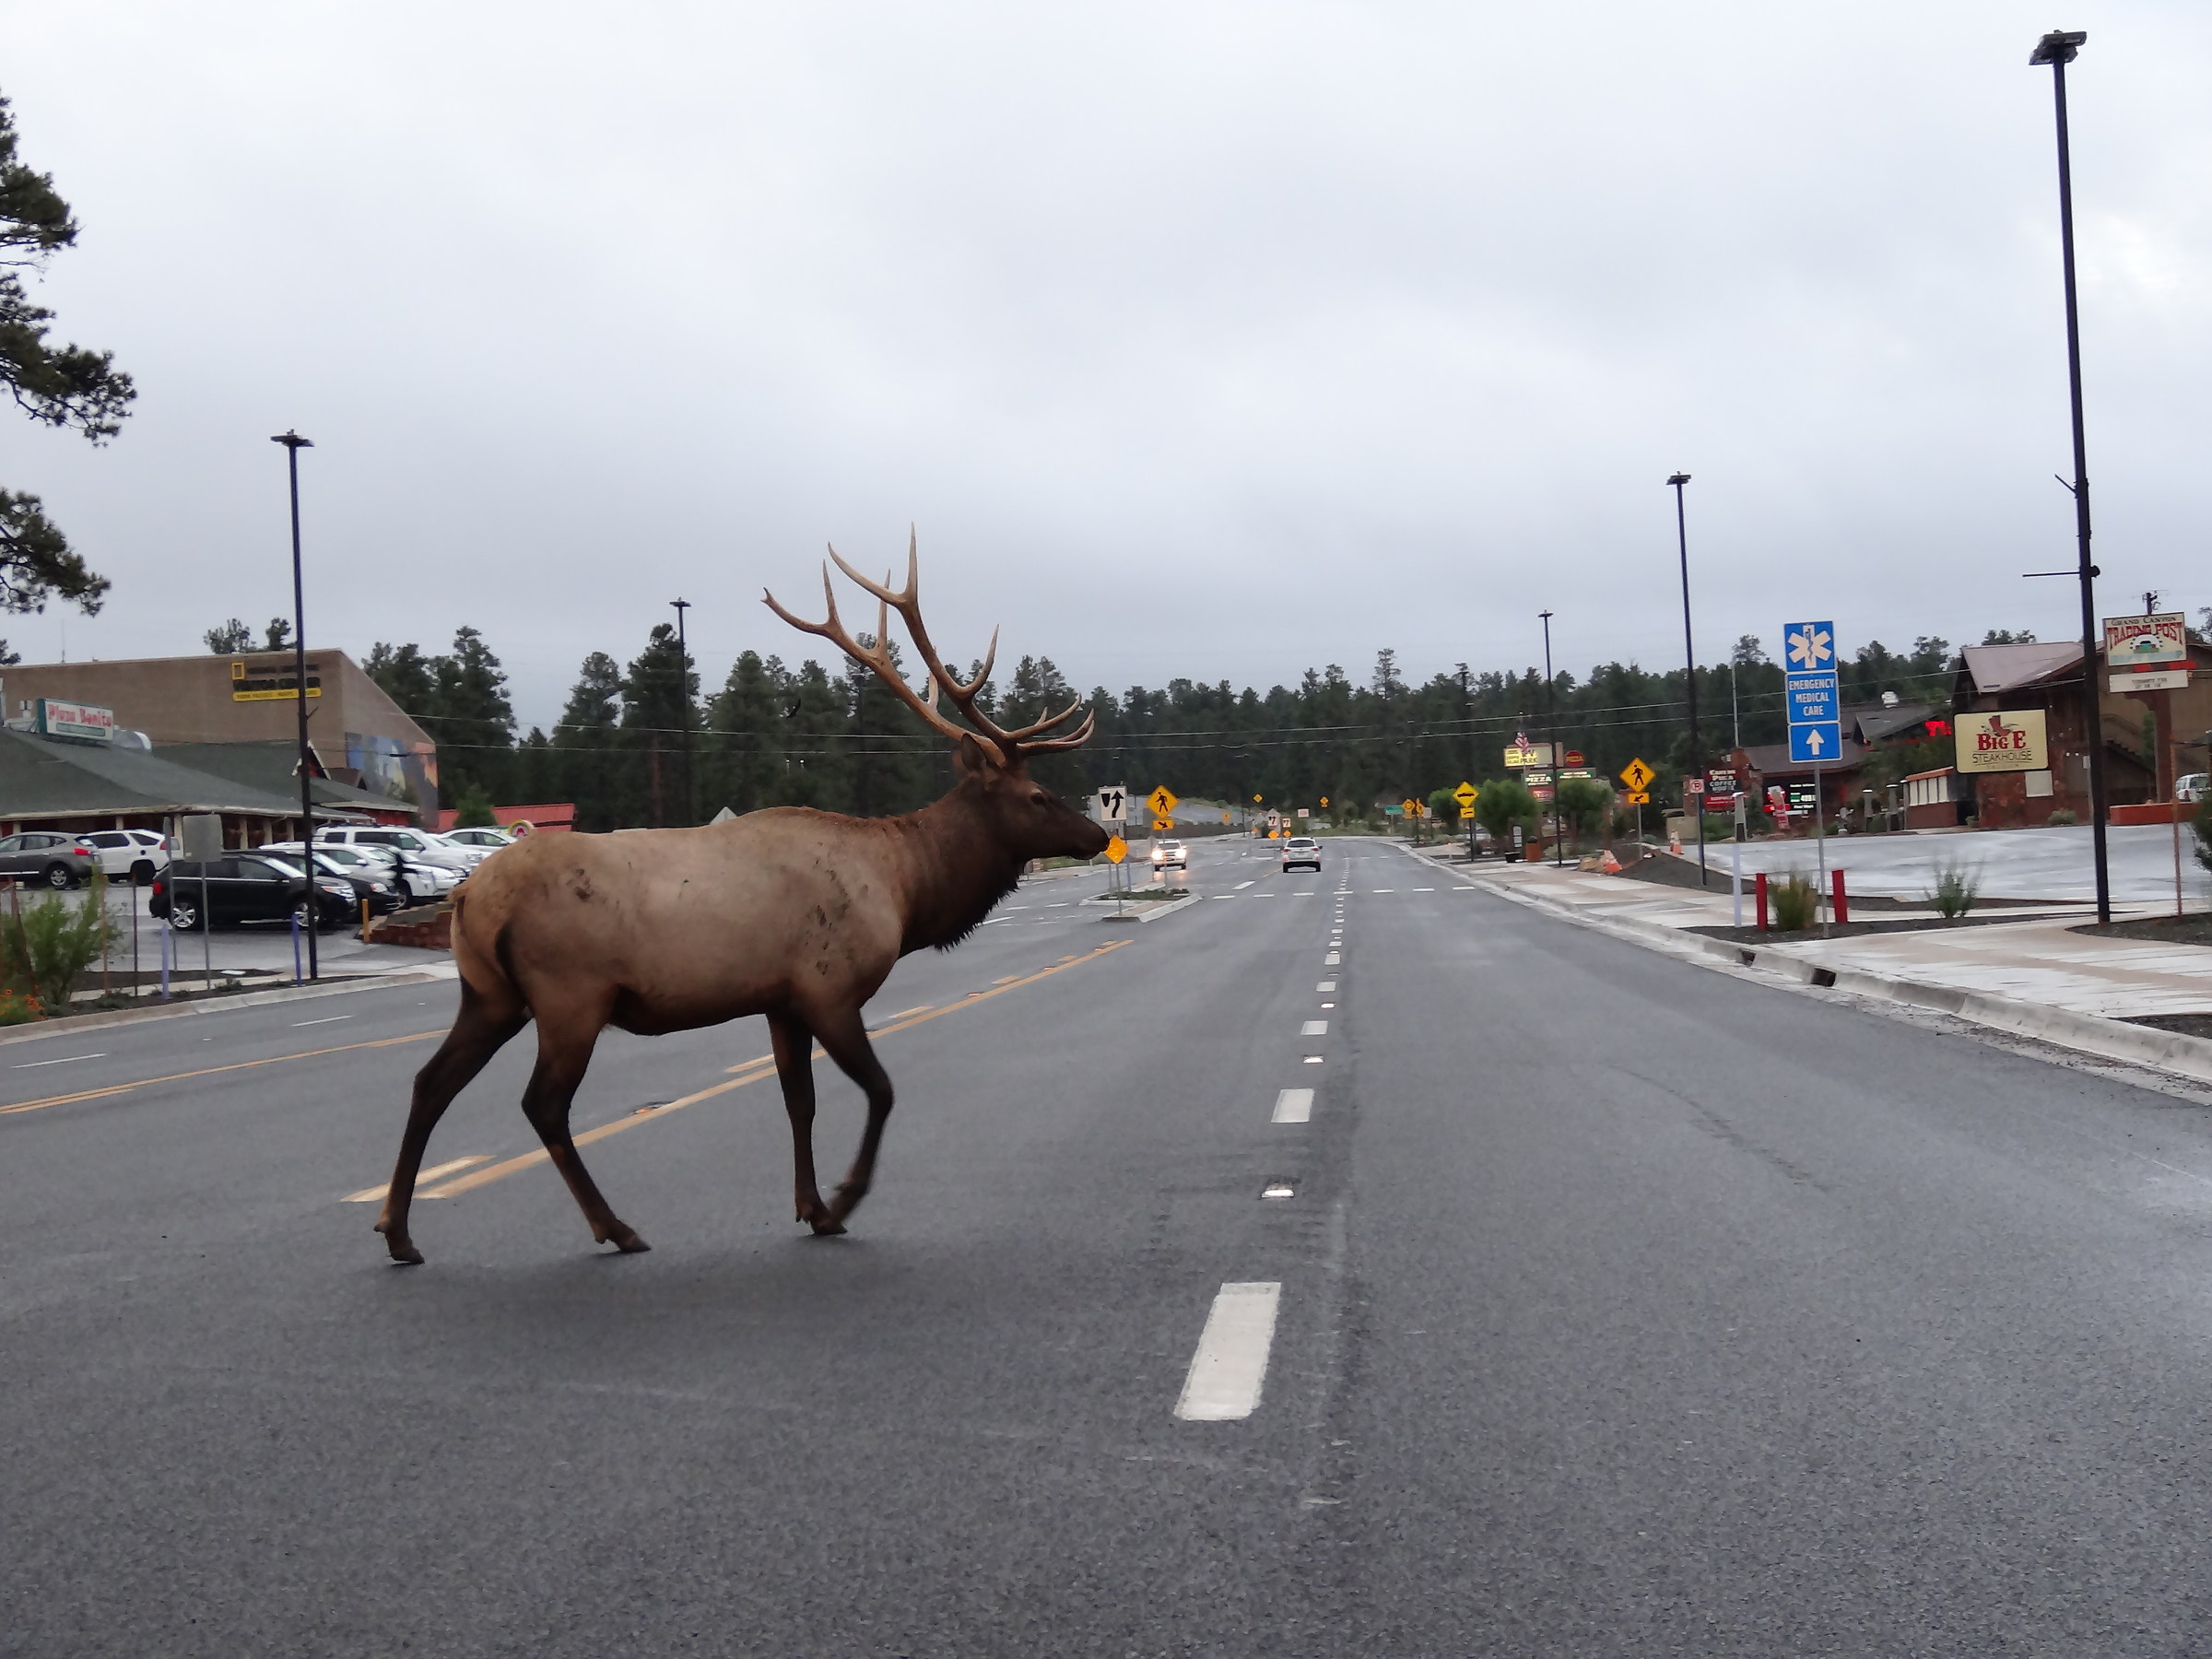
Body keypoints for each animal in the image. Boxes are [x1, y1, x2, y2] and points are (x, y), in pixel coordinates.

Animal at [373, 537, 1109, 1264]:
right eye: (1037, 795)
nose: (1099, 834)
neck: (905, 891)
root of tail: (469, 897)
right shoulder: (828, 988)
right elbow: (881, 1089)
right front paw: (844, 1199)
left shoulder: (781, 1000)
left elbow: (799, 1102)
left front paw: (811, 1207)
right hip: (570, 995)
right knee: (542, 1104)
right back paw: (616, 1227)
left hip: (489, 994)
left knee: (429, 1081)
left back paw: (399, 1232)